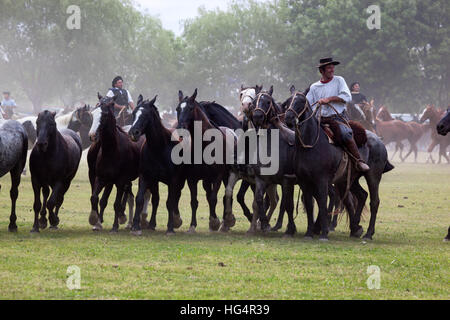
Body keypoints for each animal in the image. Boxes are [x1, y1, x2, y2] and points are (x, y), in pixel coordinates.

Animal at [284, 89, 394, 239]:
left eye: (301, 101)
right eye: (288, 101)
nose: (288, 118)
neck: (310, 143)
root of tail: (379, 140)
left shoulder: (322, 180)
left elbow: (322, 202)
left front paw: (323, 232)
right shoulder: (304, 181)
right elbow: (310, 204)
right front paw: (310, 232)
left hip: (373, 176)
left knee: (374, 201)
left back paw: (368, 233)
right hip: (349, 179)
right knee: (361, 196)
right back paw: (355, 227)